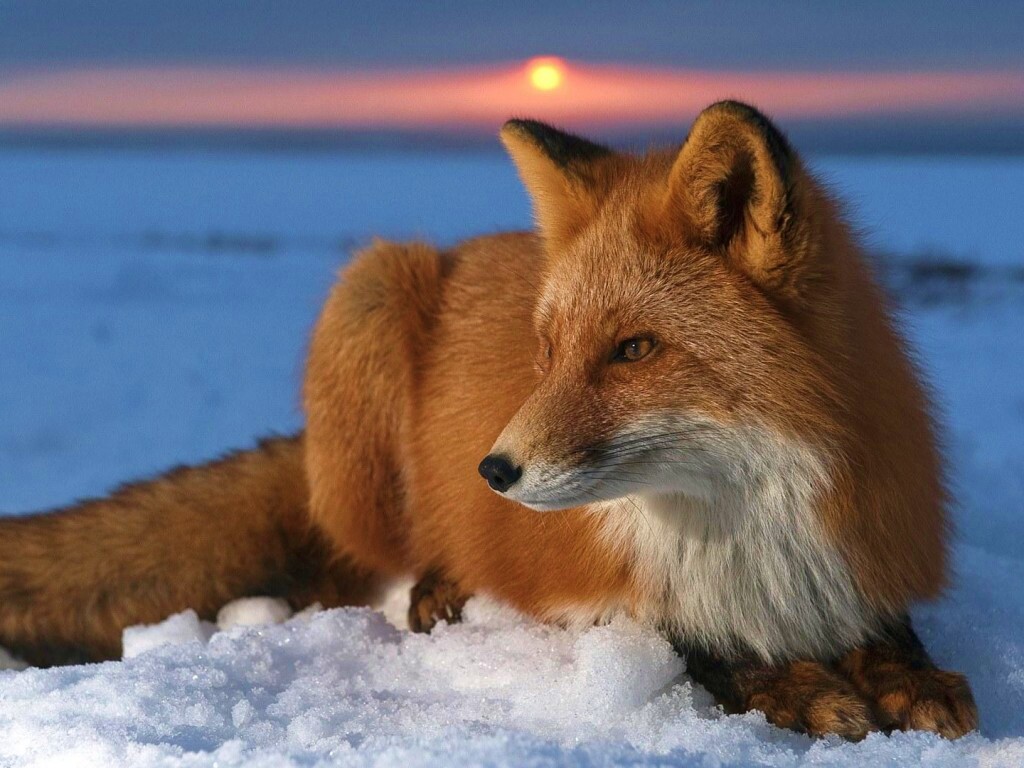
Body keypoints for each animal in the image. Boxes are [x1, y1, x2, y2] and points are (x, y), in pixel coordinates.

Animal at [0, 101, 977, 740]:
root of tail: (473, 244)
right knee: (369, 560)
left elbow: (892, 631)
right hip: (369, 297)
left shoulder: (861, 552)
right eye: (546, 352)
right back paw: (438, 587)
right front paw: (795, 687)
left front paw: (908, 676)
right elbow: (693, 643)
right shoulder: (588, 591)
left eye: (634, 349)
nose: (493, 472)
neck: (749, 533)